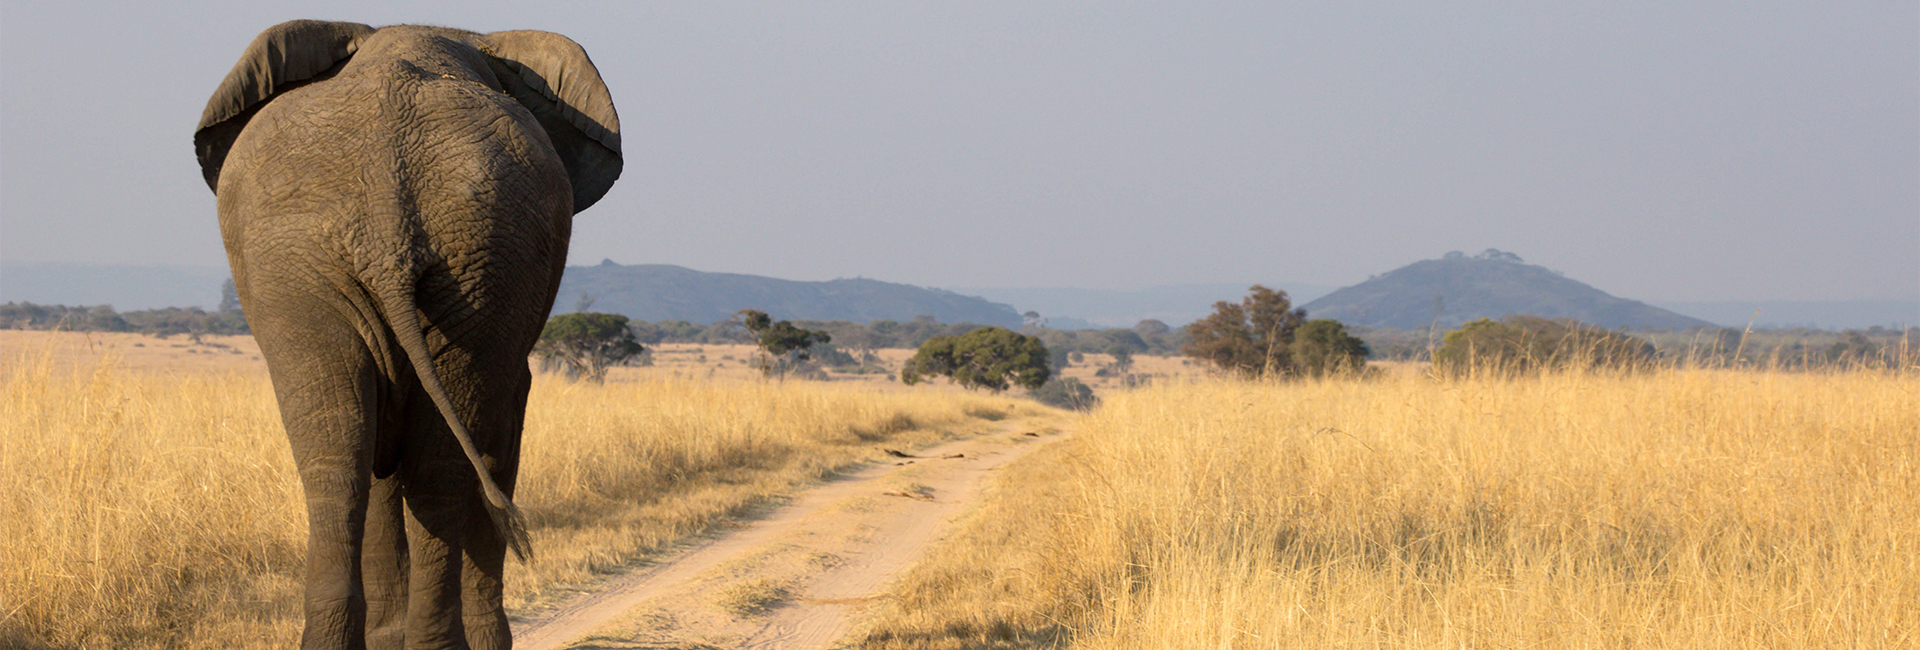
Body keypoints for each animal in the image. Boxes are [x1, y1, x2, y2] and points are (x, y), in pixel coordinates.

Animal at [194, 20, 620, 650]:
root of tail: (385, 224)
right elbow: (495, 439)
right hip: (442, 258)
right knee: (413, 458)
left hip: (362, 261)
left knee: (343, 447)